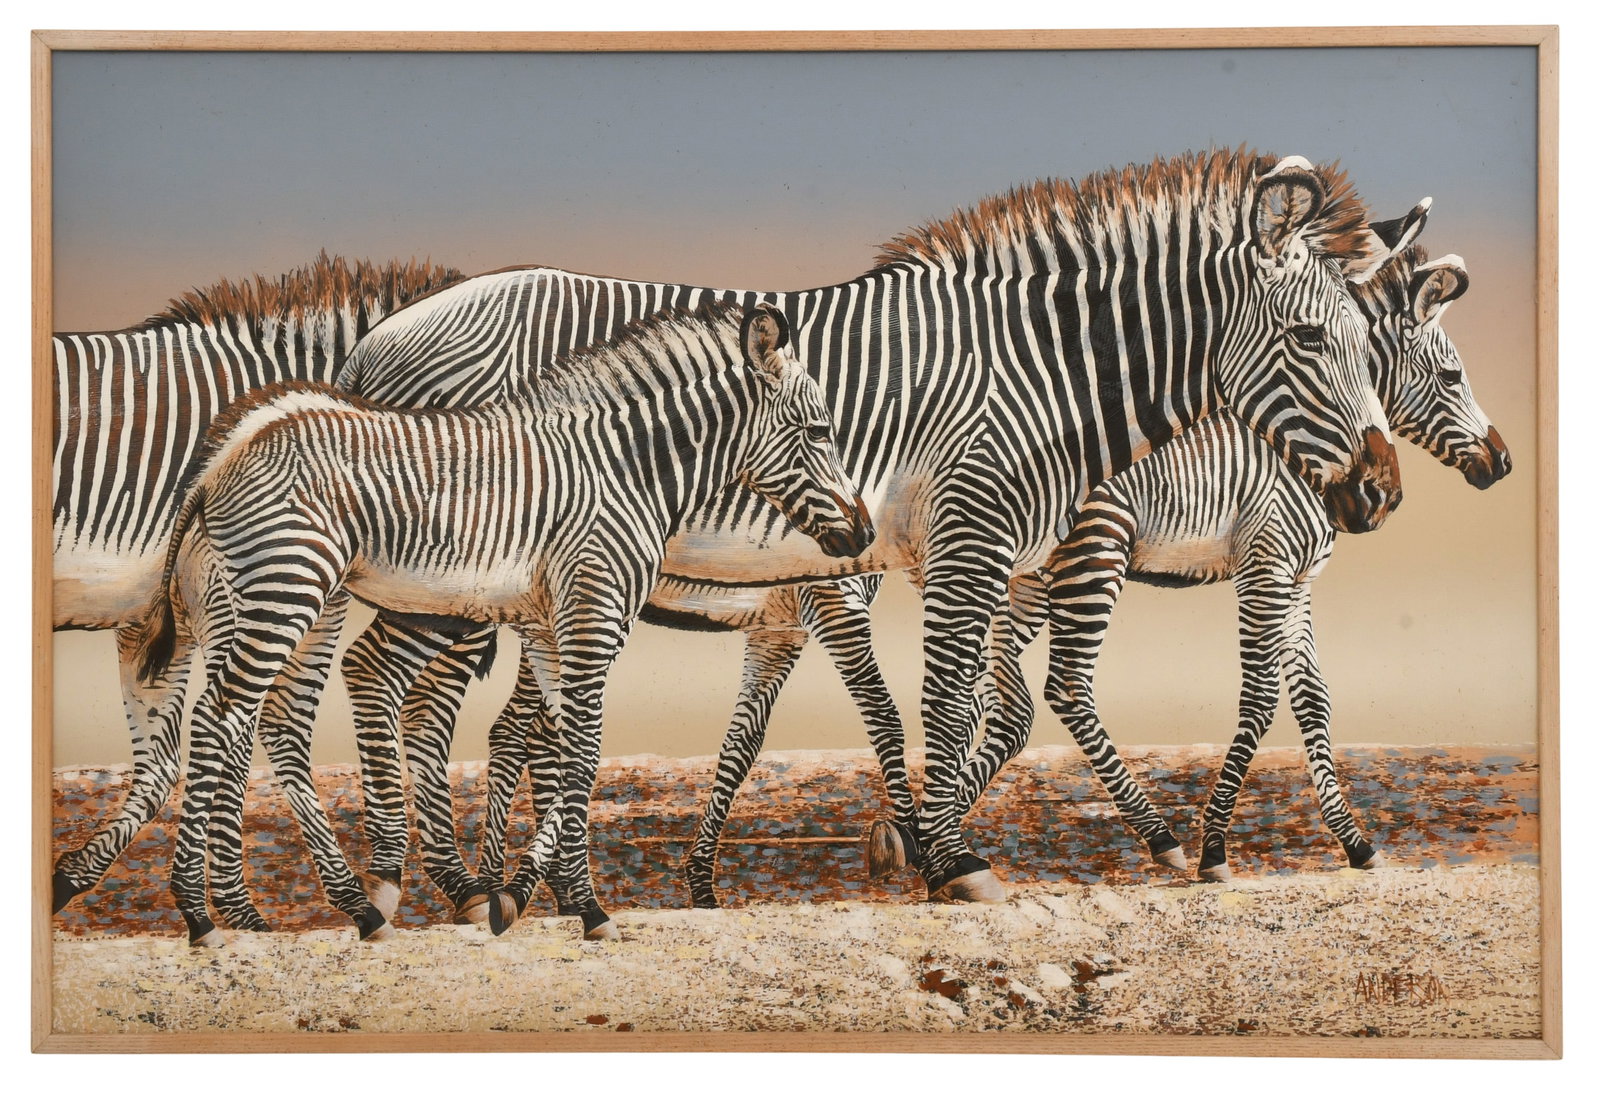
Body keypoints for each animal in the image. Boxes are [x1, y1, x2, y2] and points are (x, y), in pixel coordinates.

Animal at [50, 253, 465, 918]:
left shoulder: (153, 619)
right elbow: (252, 728)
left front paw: (74, 876)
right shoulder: (231, 595)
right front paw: (240, 904)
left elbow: (165, 762)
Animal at [131, 302, 873, 945]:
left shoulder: (549, 622)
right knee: (222, 715)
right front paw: (586, 907)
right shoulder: (594, 609)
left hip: (281, 597)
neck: (628, 468)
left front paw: (541, 894)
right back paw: (203, 914)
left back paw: (333, 909)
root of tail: (229, 448)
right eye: (820, 432)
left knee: (253, 719)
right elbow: (584, 747)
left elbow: (561, 742)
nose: (863, 533)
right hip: (287, 586)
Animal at [321, 150, 1419, 926]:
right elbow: (940, 700)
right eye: (1311, 339)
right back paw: (414, 888)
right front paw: (949, 858)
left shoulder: (962, 555)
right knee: (389, 682)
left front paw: (926, 841)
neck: (1038, 368)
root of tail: (377, 341)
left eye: (1372, 346)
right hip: (464, 561)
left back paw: (462, 886)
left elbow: (962, 708)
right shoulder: (967, 533)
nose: (1379, 492)